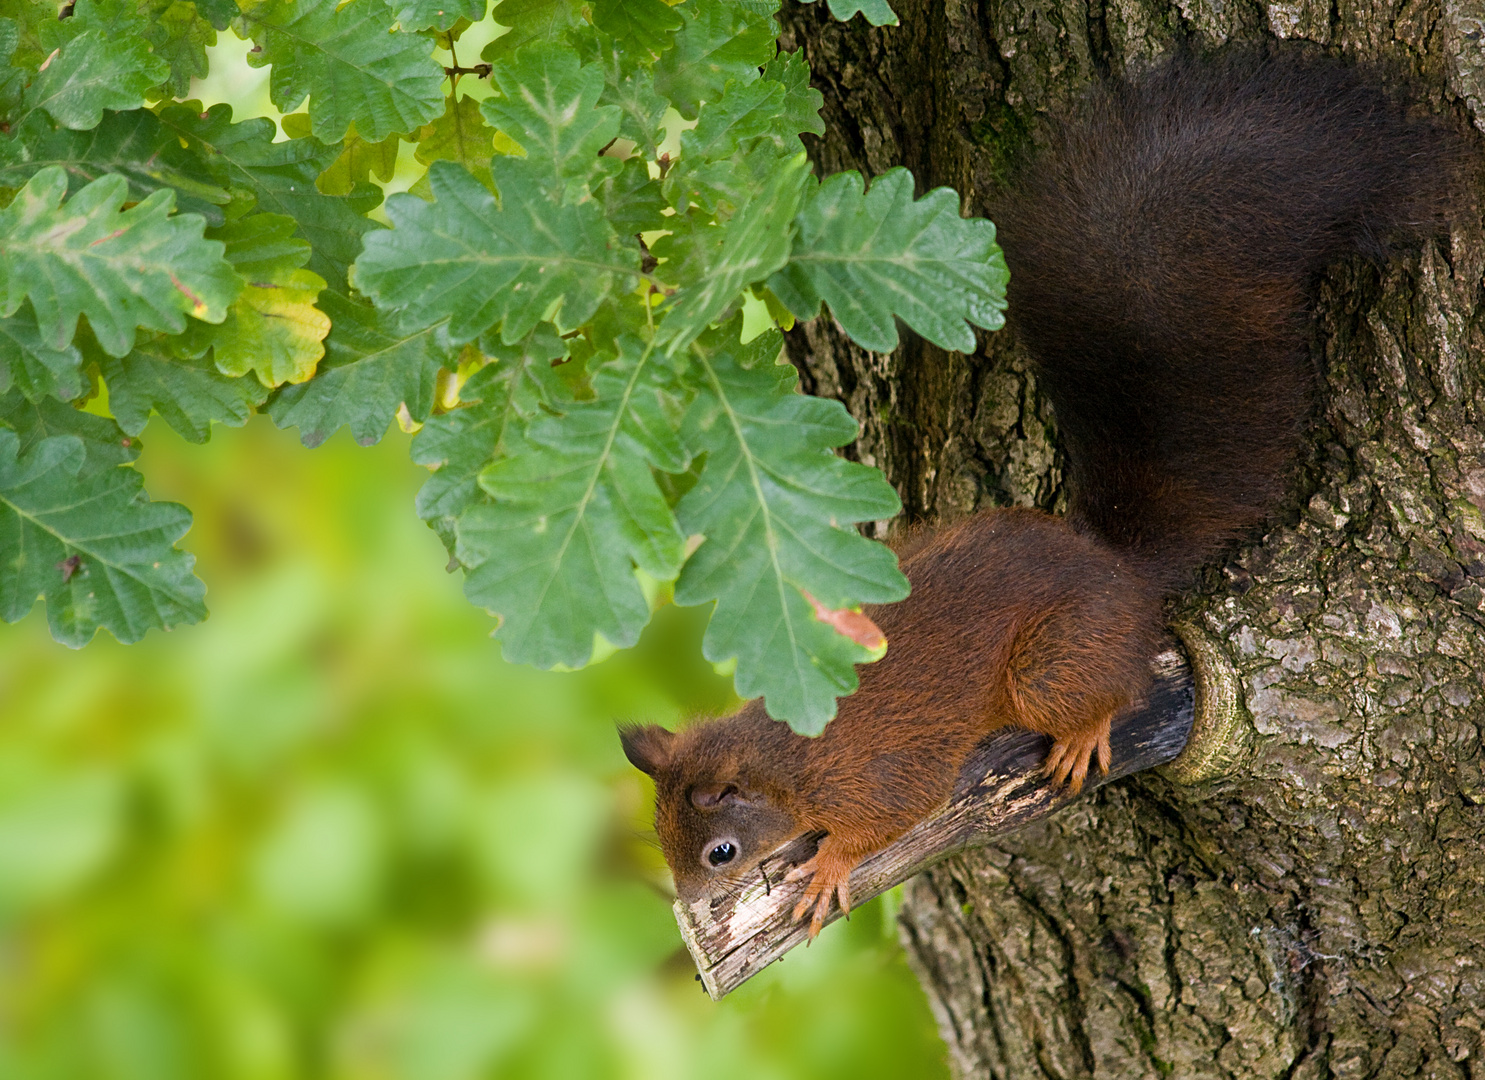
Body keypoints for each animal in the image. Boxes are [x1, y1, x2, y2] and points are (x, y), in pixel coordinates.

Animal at [611, 46, 1461, 932]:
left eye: (719, 852)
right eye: (662, 840)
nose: (691, 907)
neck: (782, 754)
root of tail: (1118, 571)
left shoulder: (874, 772)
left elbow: (895, 813)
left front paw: (832, 866)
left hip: (1049, 666)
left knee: (1110, 687)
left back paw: (1085, 731)